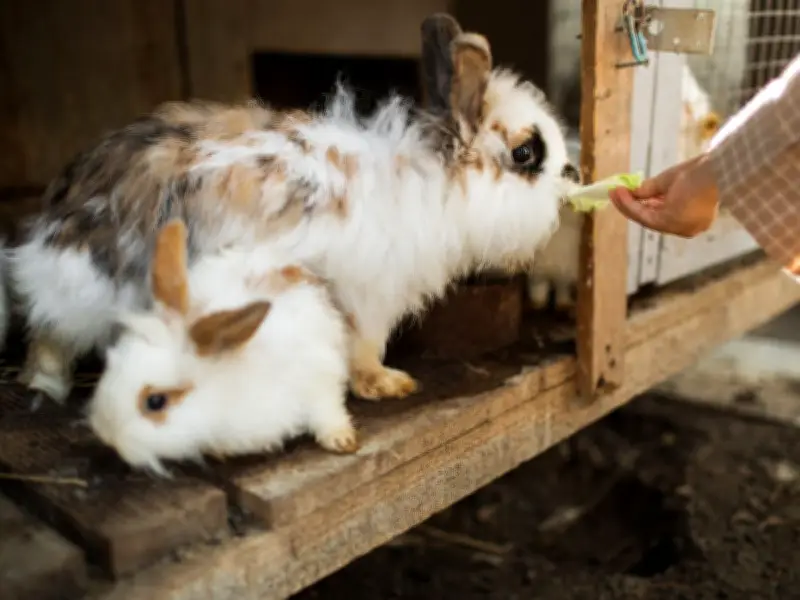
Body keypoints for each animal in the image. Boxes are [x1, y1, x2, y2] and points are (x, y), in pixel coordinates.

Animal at [8, 12, 578, 407]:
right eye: (526, 154)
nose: (572, 176)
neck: (432, 181)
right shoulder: (366, 298)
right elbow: (364, 348)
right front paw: (388, 384)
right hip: (87, 290)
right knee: (51, 334)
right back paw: (44, 387)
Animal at [87, 219, 357, 474]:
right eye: (110, 364)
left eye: (155, 402)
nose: (106, 435)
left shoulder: (319, 379)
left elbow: (328, 412)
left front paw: (341, 440)